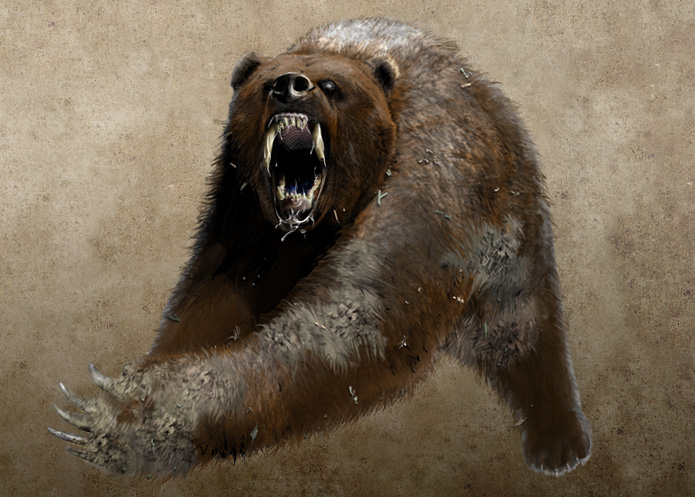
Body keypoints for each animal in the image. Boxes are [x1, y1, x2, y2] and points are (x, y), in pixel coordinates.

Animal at [49, 18, 591, 477]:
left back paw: (559, 442)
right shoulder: (242, 213)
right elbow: (210, 296)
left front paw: (123, 414)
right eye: (265, 83)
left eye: (332, 86)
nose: (291, 85)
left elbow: (345, 325)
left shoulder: (431, 185)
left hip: (510, 239)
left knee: (525, 333)